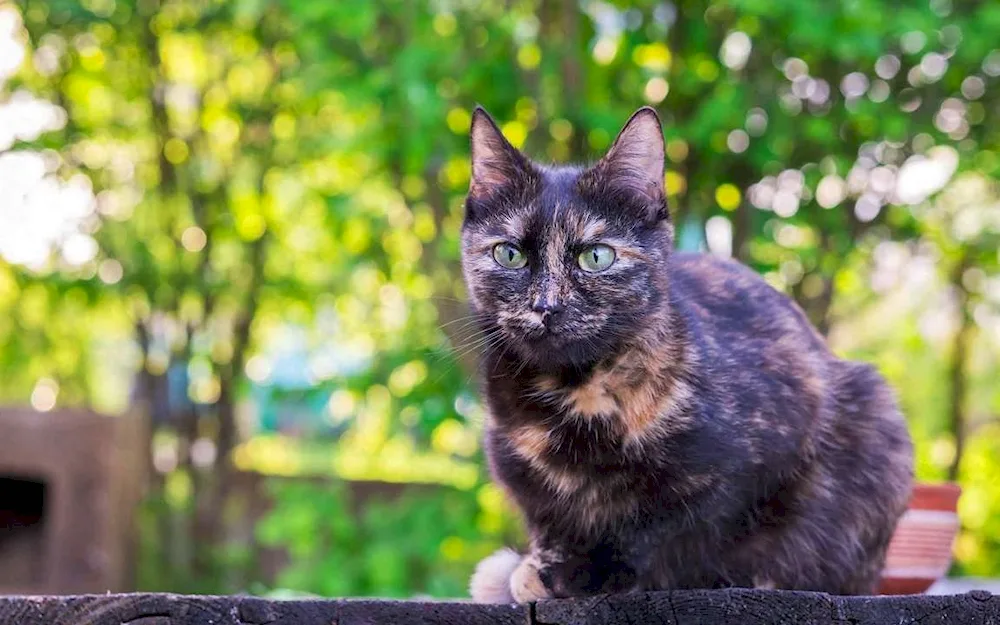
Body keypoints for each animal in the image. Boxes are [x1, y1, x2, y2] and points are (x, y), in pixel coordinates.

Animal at [460, 105, 916, 604]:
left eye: (597, 257)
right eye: (509, 254)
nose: (546, 306)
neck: (575, 395)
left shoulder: (767, 447)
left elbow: (664, 525)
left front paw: (592, 573)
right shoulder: (518, 469)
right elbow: (550, 518)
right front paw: (547, 567)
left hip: (874, 413)